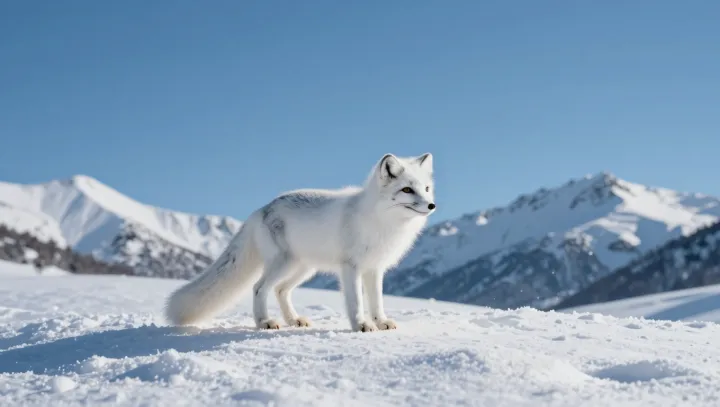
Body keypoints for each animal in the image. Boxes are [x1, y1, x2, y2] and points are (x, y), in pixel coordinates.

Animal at [164, 153, 436, 332]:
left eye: (426, 188)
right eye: (407, 190)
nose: (432, 205)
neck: (381, 220)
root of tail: (260, 209)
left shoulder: (374, 269)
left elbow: (377, 302)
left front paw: (381, 322)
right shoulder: (351, 267)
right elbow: (357, 302)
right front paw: (361, 325)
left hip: (303, 268)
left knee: (280, 290)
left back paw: (293, 320)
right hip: (283, 264)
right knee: (259, 288)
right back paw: (264, 322)